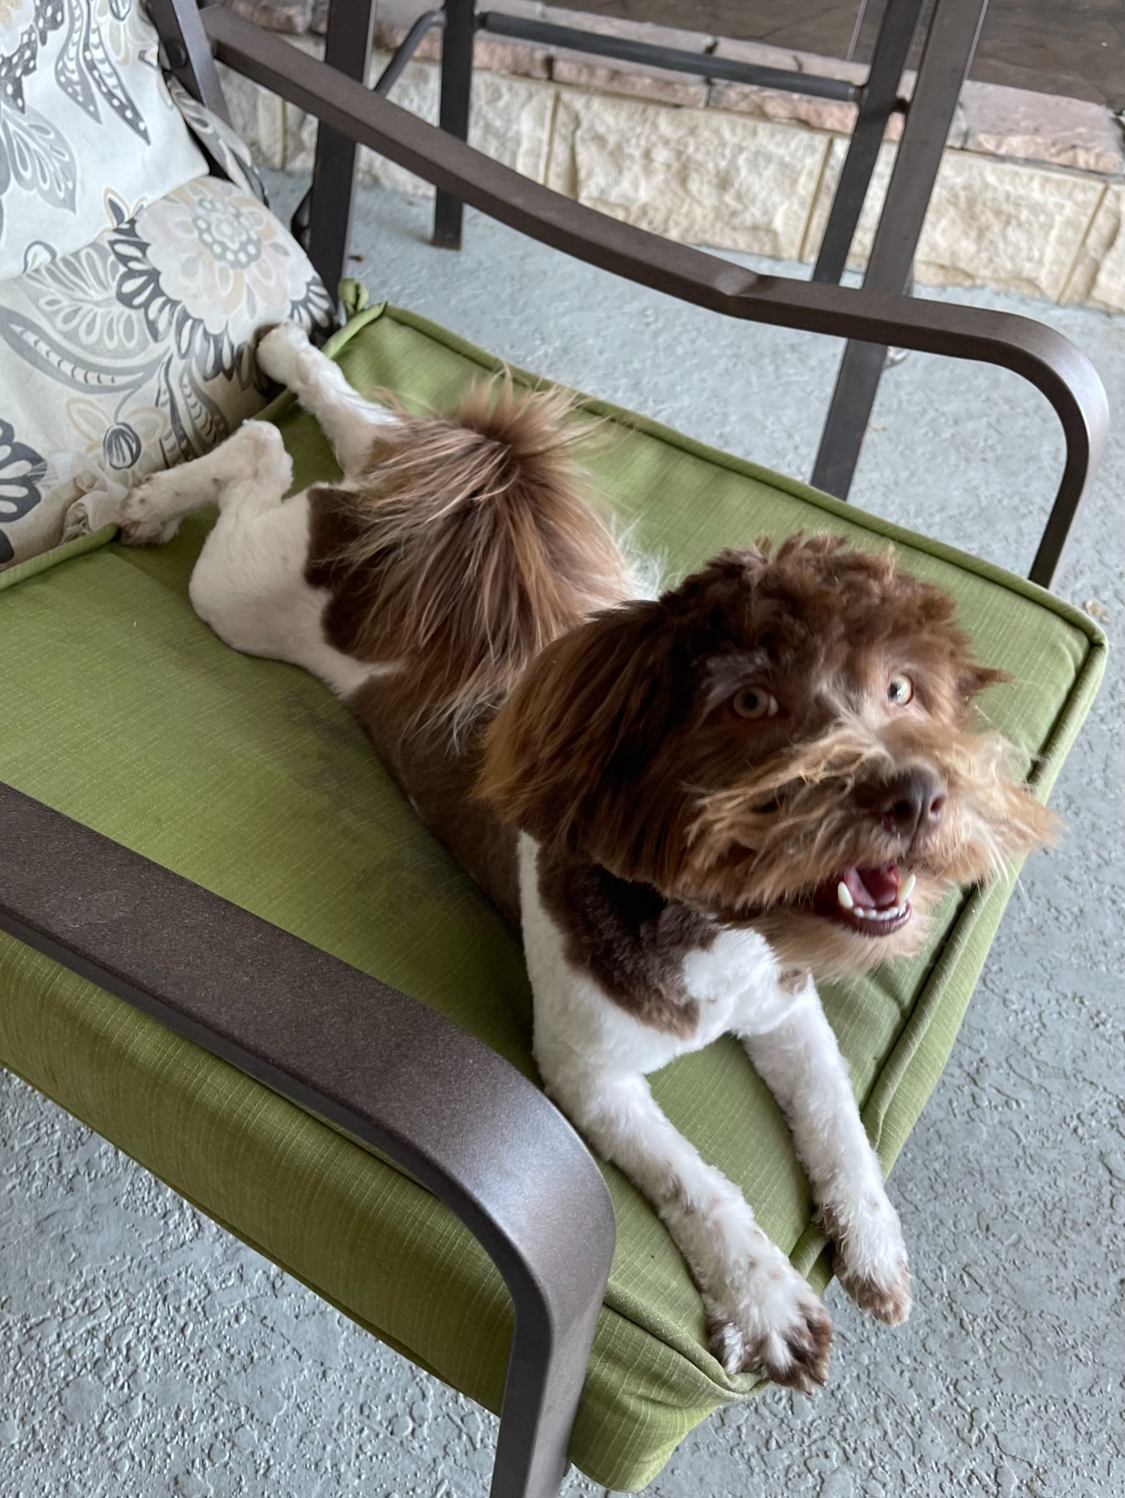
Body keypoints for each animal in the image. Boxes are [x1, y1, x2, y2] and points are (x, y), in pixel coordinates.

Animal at [119, 325, 1060, 1390]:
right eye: (749, 703)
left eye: (899, 689)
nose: (915, 792)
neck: (713, 926)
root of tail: (434, 522)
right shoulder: (587, 1075)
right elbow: (695, 1180)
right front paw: (767, 1298)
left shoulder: (788, 1010)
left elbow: (839, 1125)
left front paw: (872, 1241)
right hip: (247, 593)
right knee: (260, 458)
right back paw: (159, 498)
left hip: (344, 510)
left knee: (355, 422)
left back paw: (286, 356)